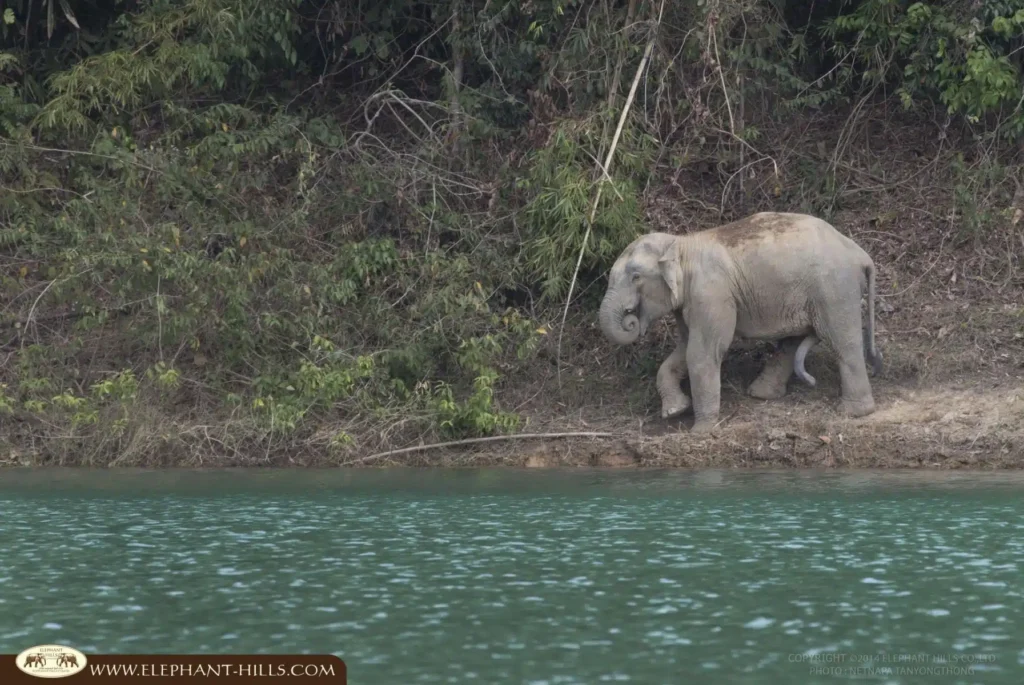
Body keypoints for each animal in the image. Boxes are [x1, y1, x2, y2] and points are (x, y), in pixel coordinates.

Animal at [598, 211, 883, 433]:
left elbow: (703, 351)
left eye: (636, 276)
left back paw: (854, 412)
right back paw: (761, 394)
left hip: (834, 289)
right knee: (792, 343)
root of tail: (861, 255)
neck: (681, 243)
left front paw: (700, 431)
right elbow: (684, 348)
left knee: (842, 342)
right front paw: (674, 411)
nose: (631, 320)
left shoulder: (711, 294)